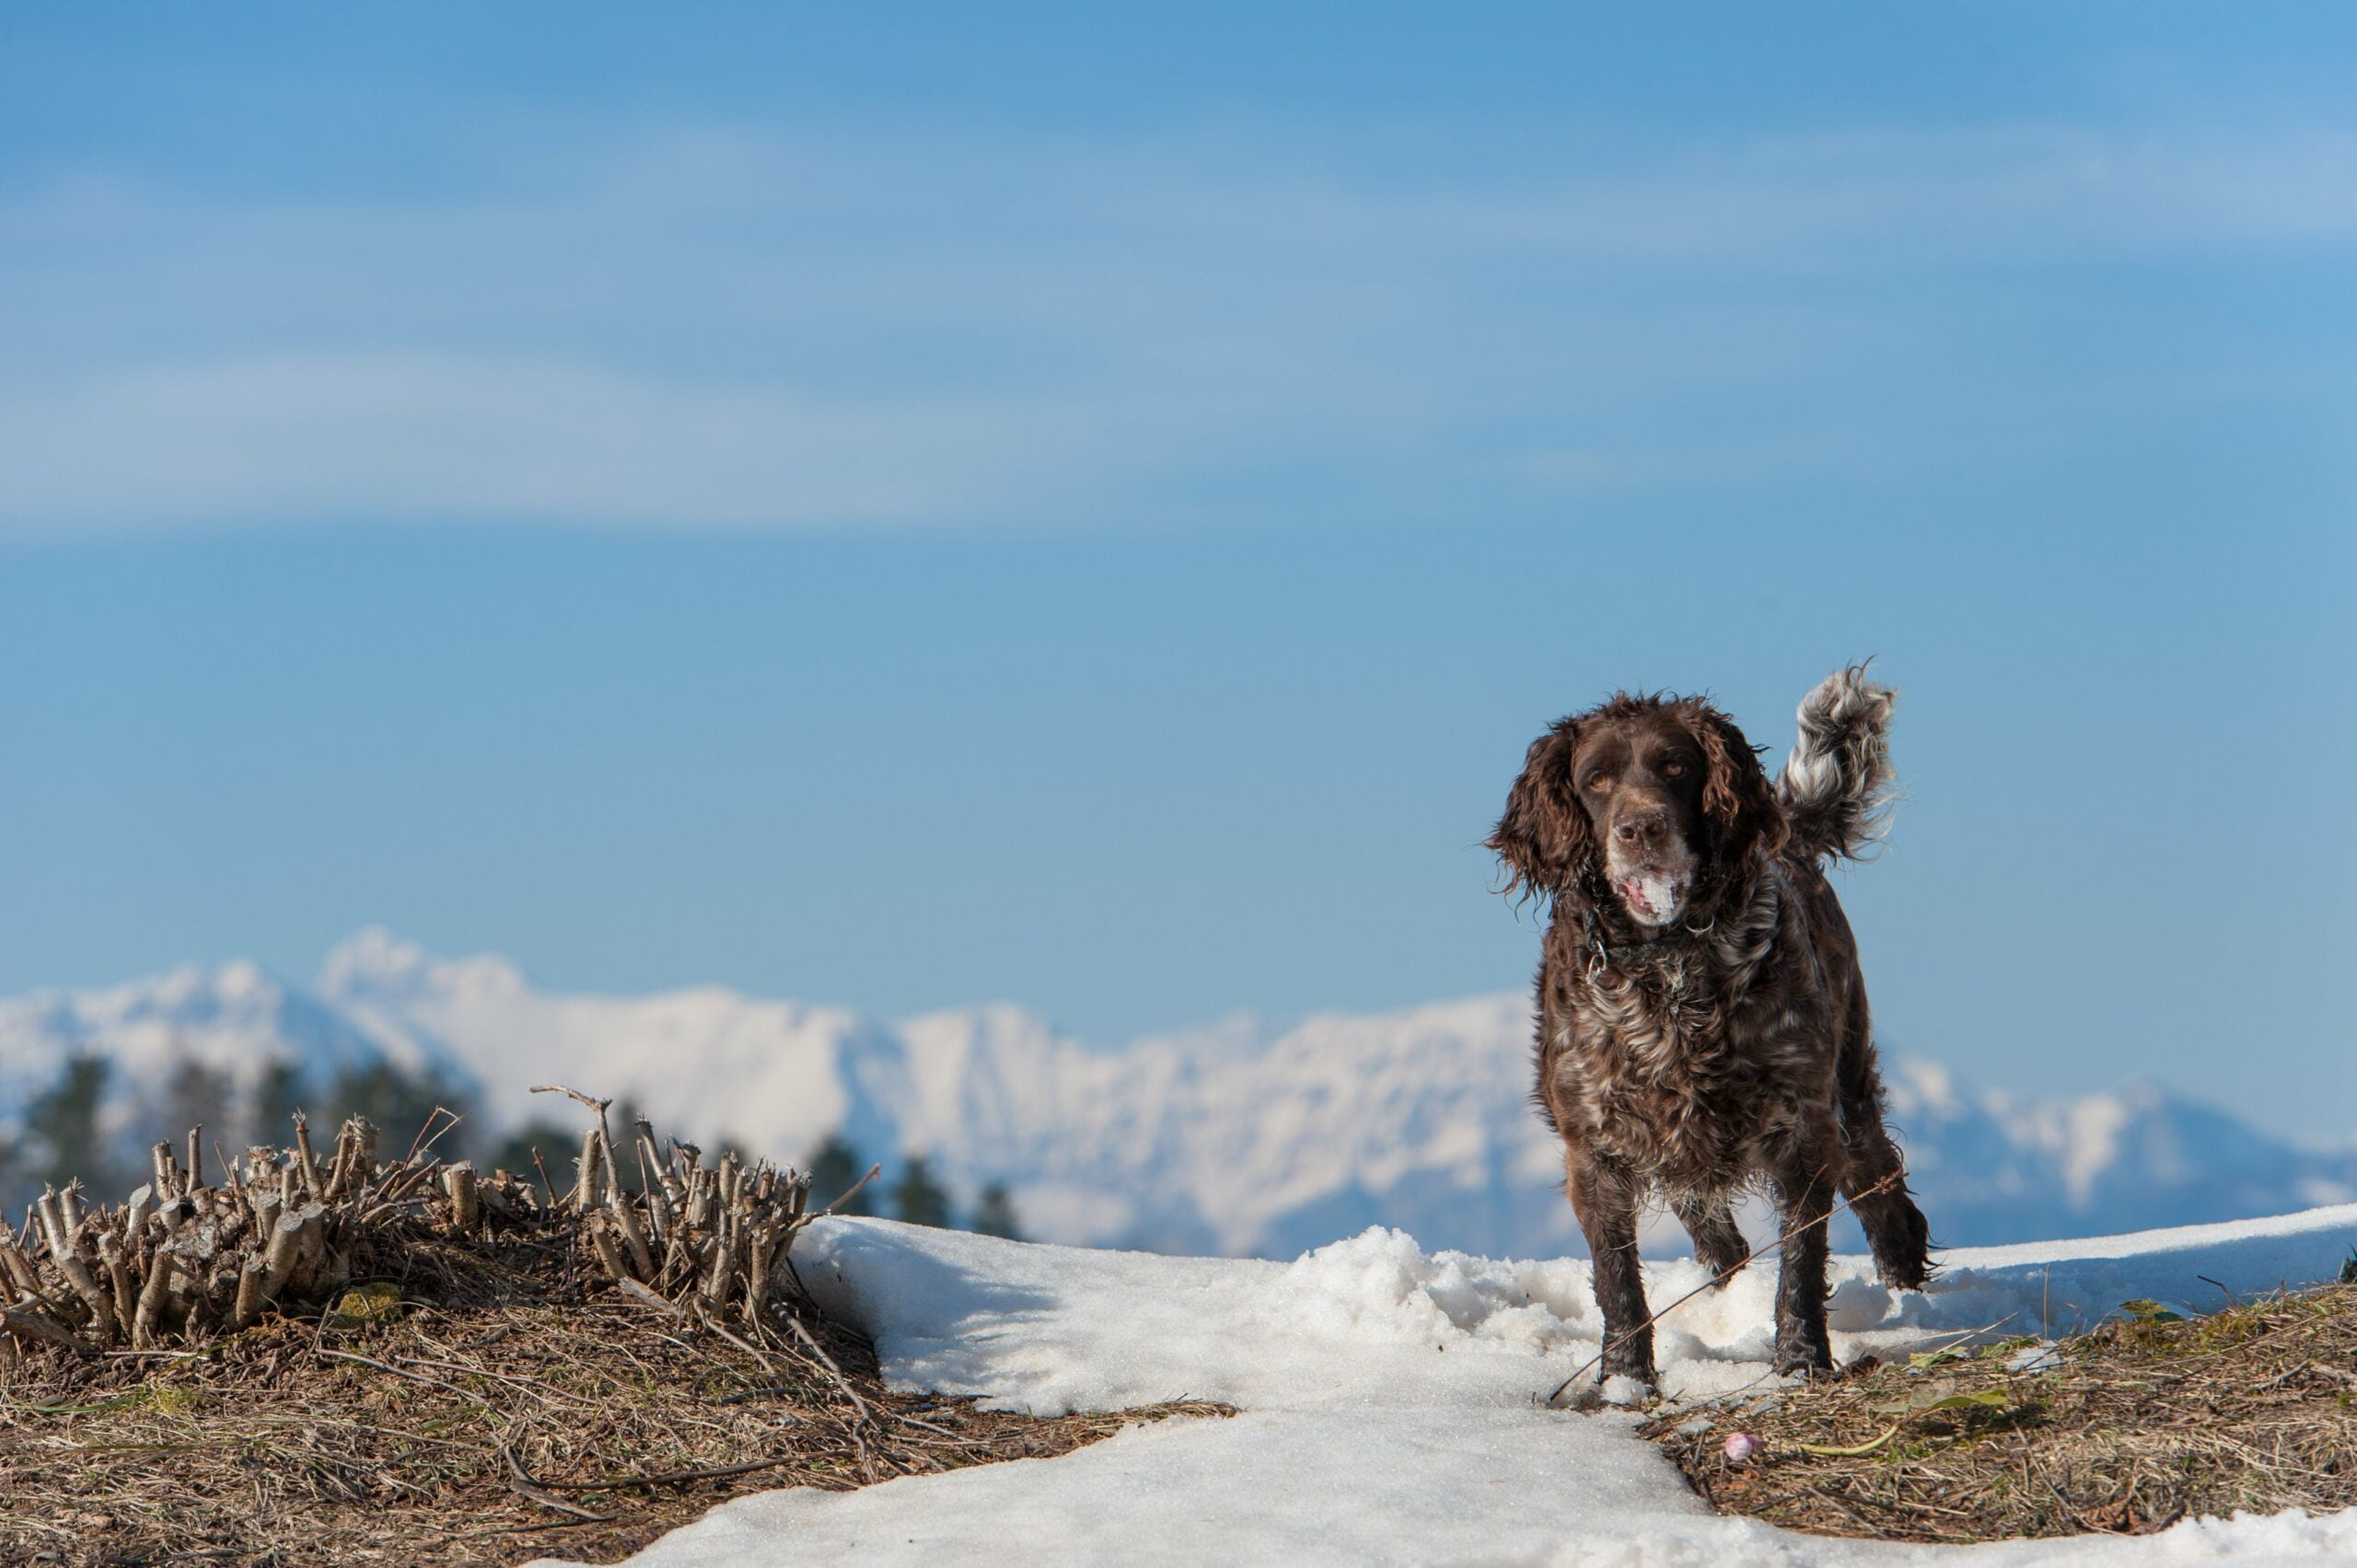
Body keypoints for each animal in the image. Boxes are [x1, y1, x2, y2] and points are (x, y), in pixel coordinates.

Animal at [1489, 665, 1933, 1386]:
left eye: (1676, 766)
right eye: (1596, 779)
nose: (1641, 828)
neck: (1669, 967)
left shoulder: (1802, 1127)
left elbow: (1801, 1265)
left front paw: (1801, 1362)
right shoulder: (1597, 1147)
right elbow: (1617, 1278)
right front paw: (1624, 1382)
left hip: (1847, 1088)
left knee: (1877, 1177)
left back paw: (1903, 1266)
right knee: (1718, 1232)